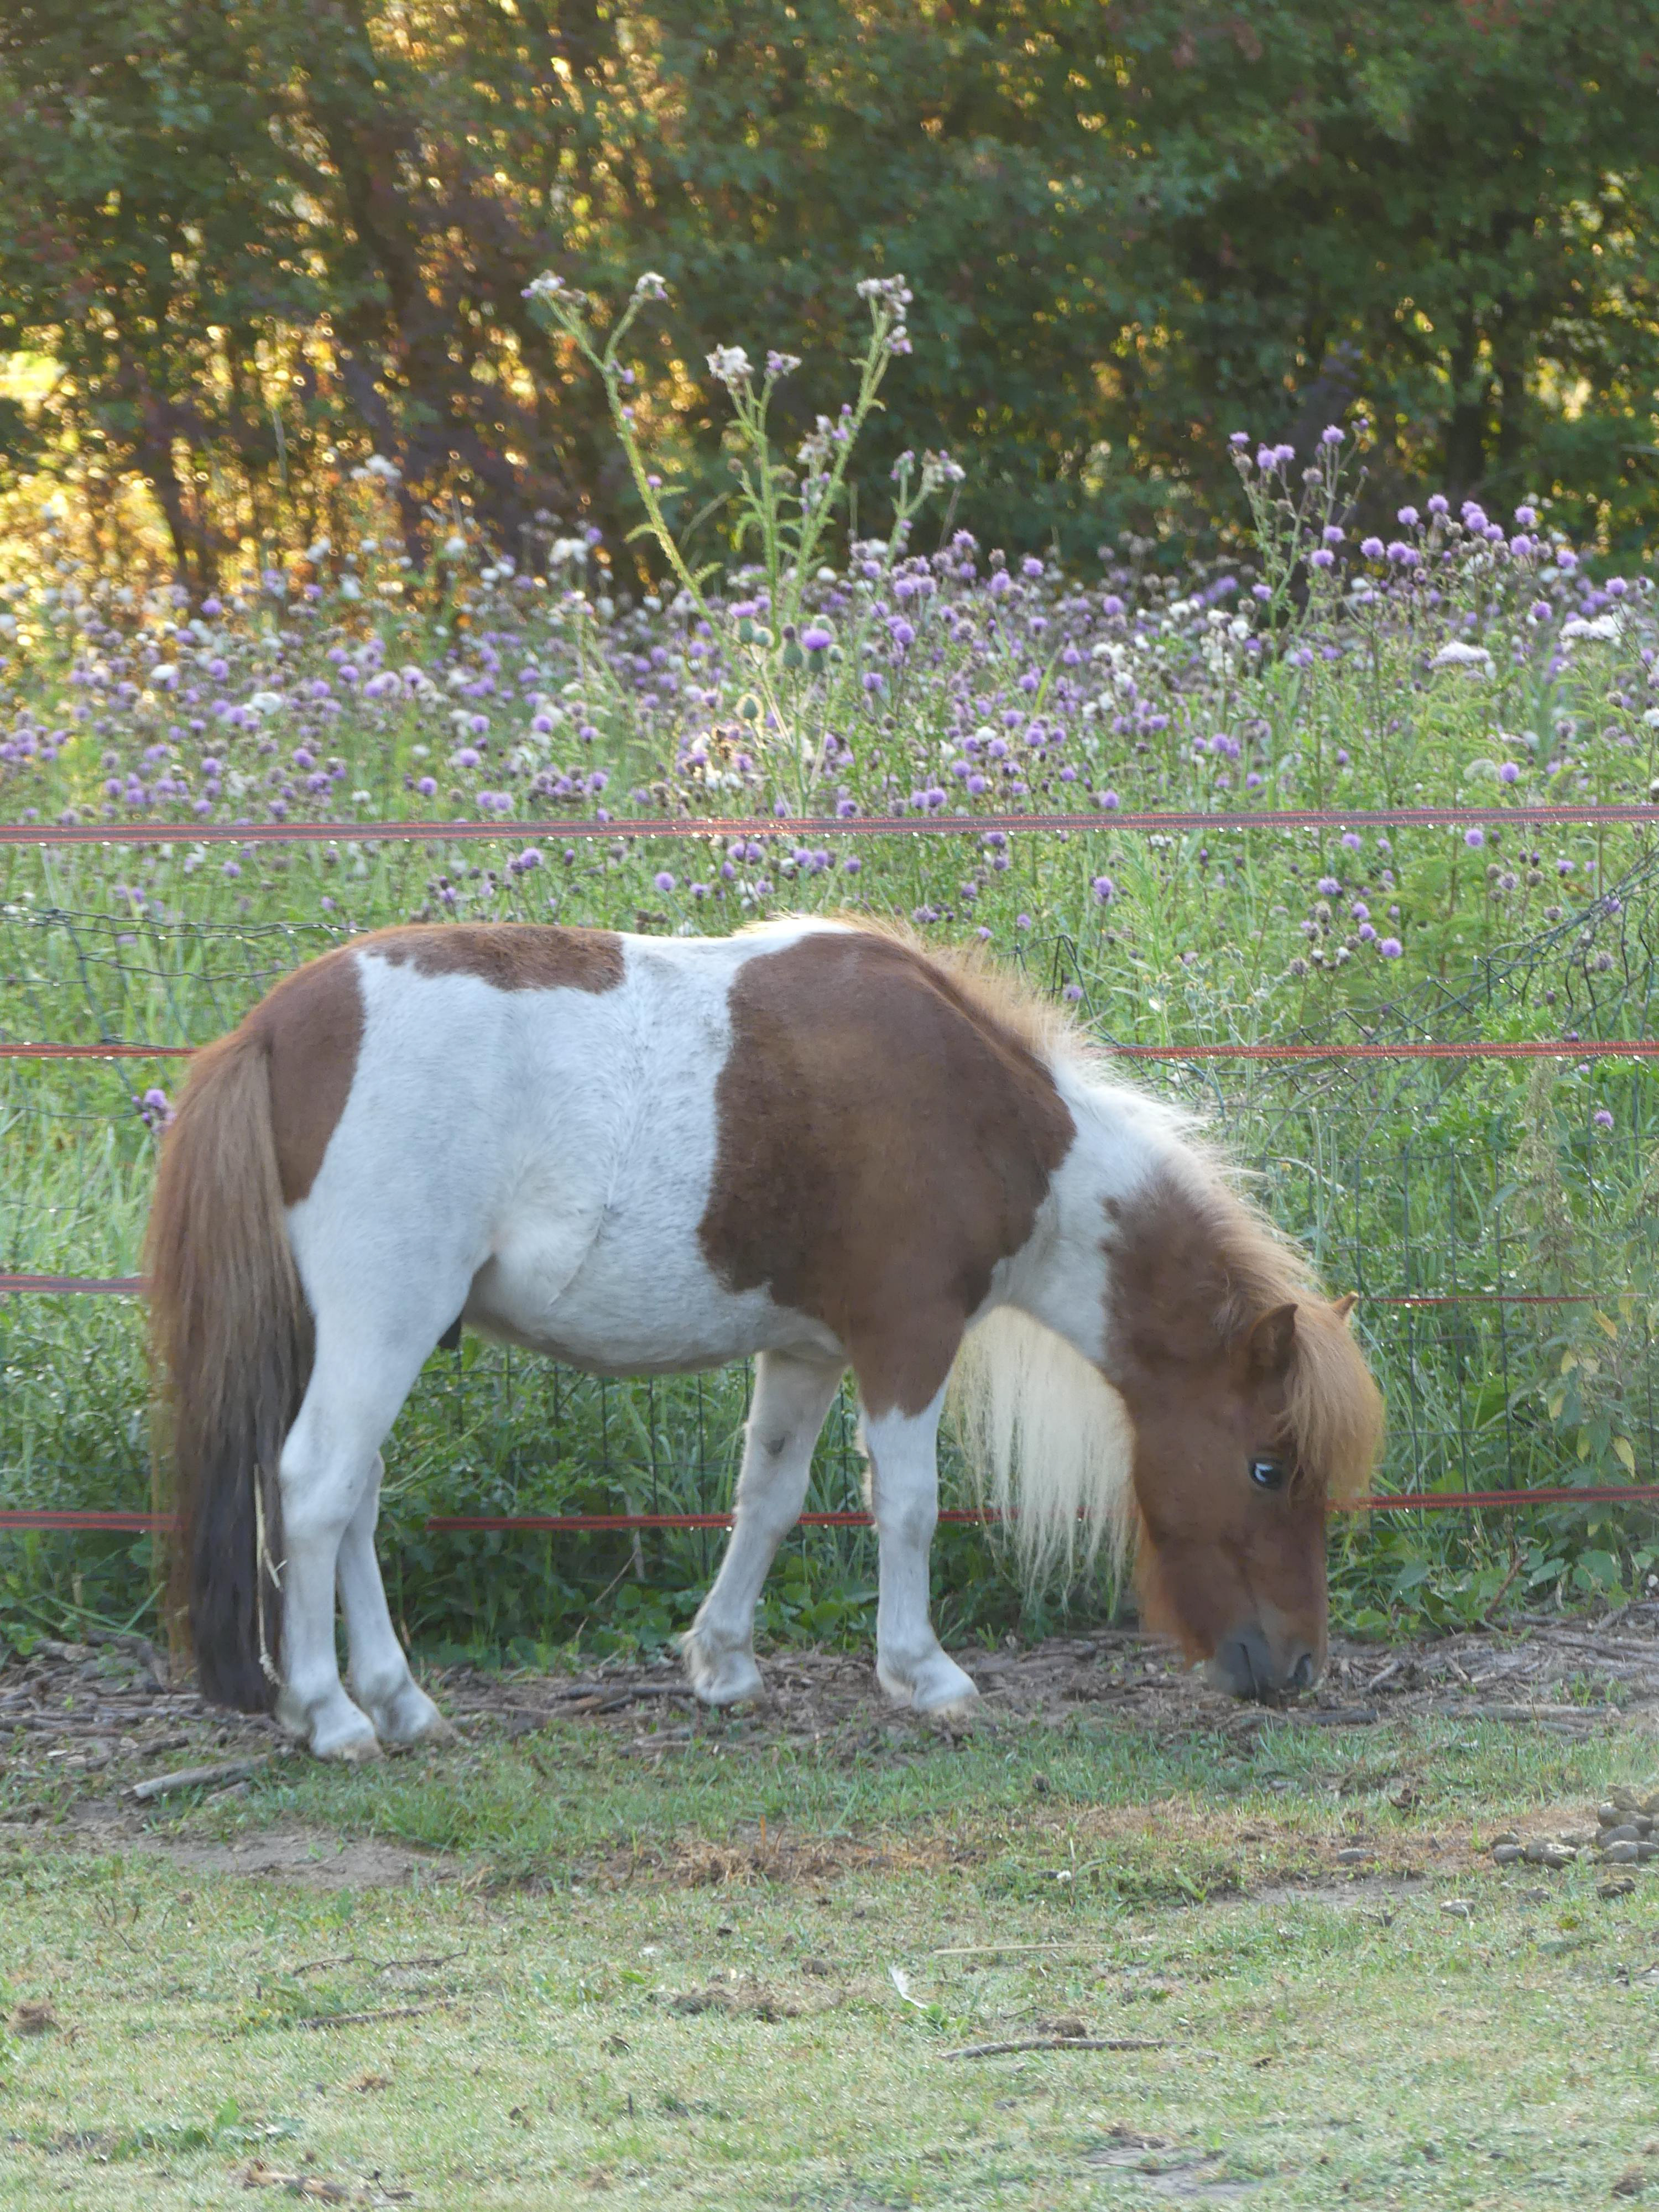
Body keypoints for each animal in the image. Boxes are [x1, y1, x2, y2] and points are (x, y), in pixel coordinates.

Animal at [144, 916, 1384, 1760]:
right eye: (1269, 1468)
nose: (1299, 1668)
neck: (983, 1114)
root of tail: (270, 1028)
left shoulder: (808, 1349)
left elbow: (769, 1497)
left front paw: (724, 1662)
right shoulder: (906, 1339)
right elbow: (910, 1505)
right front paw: (923, 1672)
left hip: (358, 1336)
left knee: (350, 1500)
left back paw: (399, 1700)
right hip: (382, 1325)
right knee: (316, 1486)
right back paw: (331, 1714)